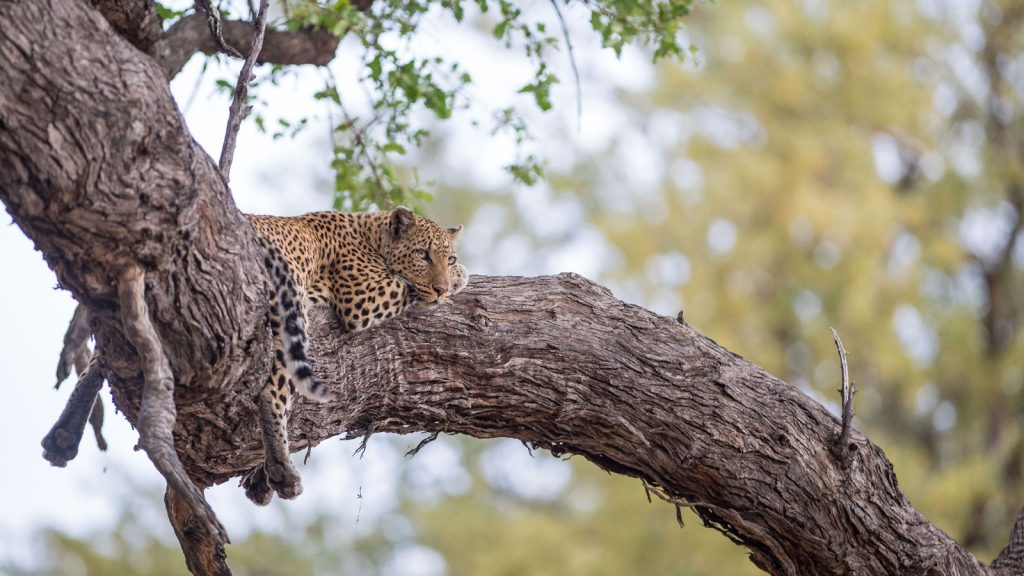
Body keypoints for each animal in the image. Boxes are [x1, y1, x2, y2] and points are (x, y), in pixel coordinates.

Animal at [241, 207, 467, 505]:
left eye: (449, 258)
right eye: (422, 254)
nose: (442, 291)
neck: (371, 235)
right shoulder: (362, 297)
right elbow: (407, 286)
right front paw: (460, 276)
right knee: (272, 391)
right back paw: (282, 470)